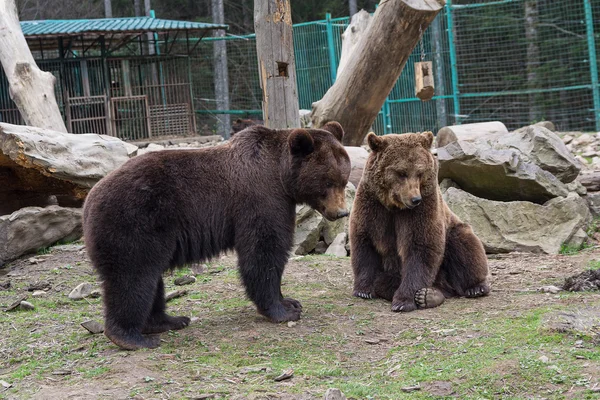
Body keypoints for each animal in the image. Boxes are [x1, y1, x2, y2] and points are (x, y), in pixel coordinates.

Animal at [82, 122, 350, 350]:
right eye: (327, 182)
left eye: (344, 179)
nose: (342, 212)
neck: (279, 174)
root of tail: (88, 203)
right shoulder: (262, 199)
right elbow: (264, 252)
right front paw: (283, 310)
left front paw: (291, 301)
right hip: (134, 223)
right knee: (133, 278)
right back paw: (131, 337)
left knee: (150, 280)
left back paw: (170, 320)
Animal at [350, 131, 490, 312]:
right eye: (401, 172)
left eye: (420, 172)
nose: (415, 199)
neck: (394, 205)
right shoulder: (372, 206)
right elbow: (365, 242)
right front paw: (363, 290)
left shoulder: (424, 206)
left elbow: (421, 246)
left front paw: (403, 301)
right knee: (384, 279)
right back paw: (431, 295)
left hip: (453, 229)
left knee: (465, 247)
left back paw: (470, 288)